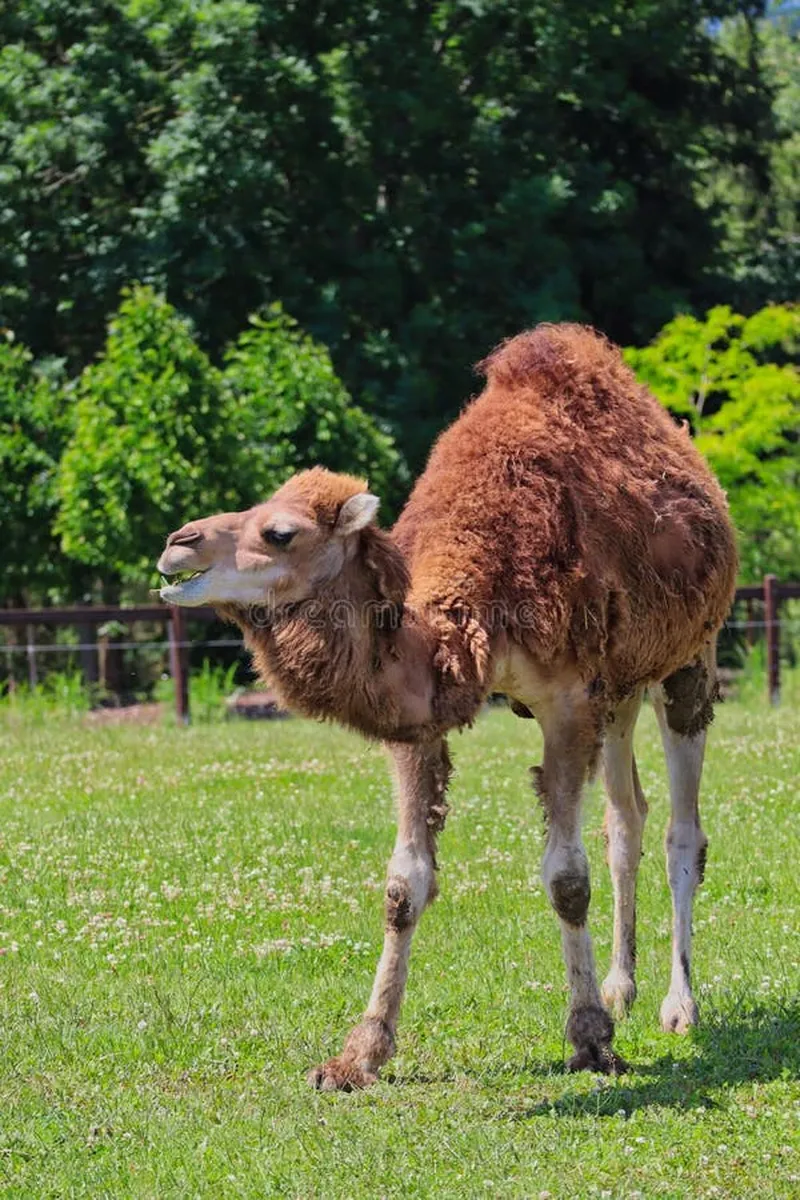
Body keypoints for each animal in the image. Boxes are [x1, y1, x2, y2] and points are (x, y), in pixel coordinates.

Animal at [155, 321, 738, 1089]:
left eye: (280, 532)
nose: (176, 543)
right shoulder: (424, 722)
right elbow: (404, 885)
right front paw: (358, 1054)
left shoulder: (566, 700)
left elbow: (566, 879)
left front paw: (589, 1039)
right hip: (621, 688)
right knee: (626, 820)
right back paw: (621, 986)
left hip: (688, 661)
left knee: (682, 831)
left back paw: (679, 1005)